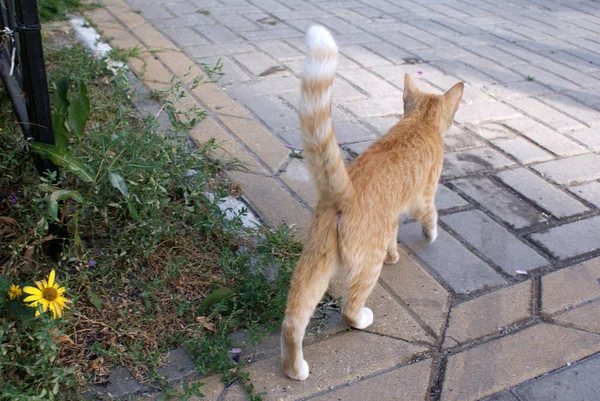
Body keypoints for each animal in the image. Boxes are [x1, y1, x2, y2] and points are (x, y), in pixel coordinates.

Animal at [282, 26, 464, 380]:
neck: (420, 121)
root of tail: (343, 192)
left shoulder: (391, 219)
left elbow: (395, 236)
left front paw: (396, 254)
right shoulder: (424, 196)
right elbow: (430, 217)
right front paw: (429, 236)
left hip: (314, 264)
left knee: (293, 319)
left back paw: (294, 369)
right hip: (366, 264)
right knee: (349, 308)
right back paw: (362, 318)